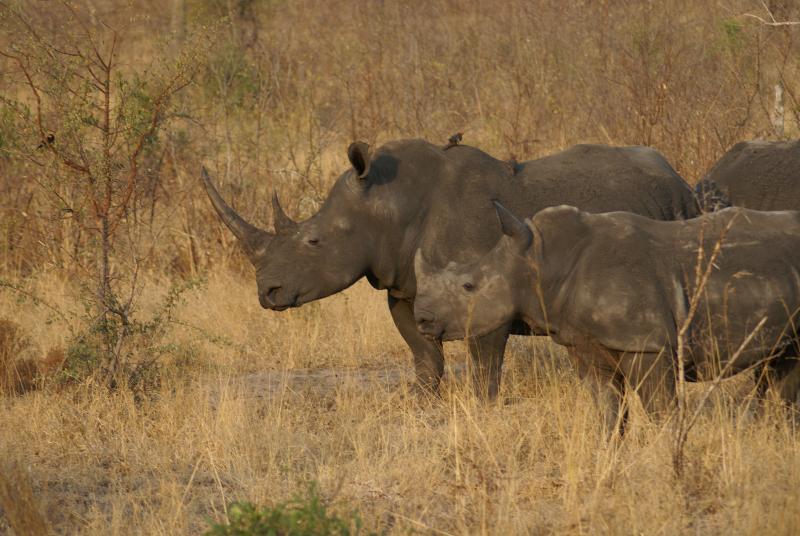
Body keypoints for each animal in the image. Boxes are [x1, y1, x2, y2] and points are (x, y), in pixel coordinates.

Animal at [201, 139, 699, 398]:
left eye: (313, 241)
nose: (267, 293)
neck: (385, 207)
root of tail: (679, 177)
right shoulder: (402, 286)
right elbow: (423, 354)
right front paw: (422, 402)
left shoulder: (486, 292)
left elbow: (484, 366)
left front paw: (483, 409)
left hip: (679, 208)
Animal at [414, 202, 800, 432]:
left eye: (469, 286)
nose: (421, 319)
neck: (540, 260)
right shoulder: (586, 345)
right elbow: (608, 410)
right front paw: (610, 452)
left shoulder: (645, 344)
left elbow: (660, 411)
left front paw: (667, 457)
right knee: (783, 365)